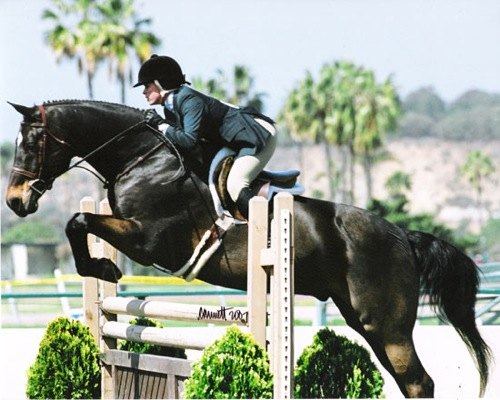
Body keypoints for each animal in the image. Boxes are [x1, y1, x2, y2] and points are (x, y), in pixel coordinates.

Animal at [6, 99, 492, 396]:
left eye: (32, 143)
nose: (15, 201)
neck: (140, 158)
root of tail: (403, 236)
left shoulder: (150, 240)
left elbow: (78, 221)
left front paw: (105, 271)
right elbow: (80, 222)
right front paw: (102, 271)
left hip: (386, 325)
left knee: (418, 381)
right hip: (365, 322)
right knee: (409, 380)